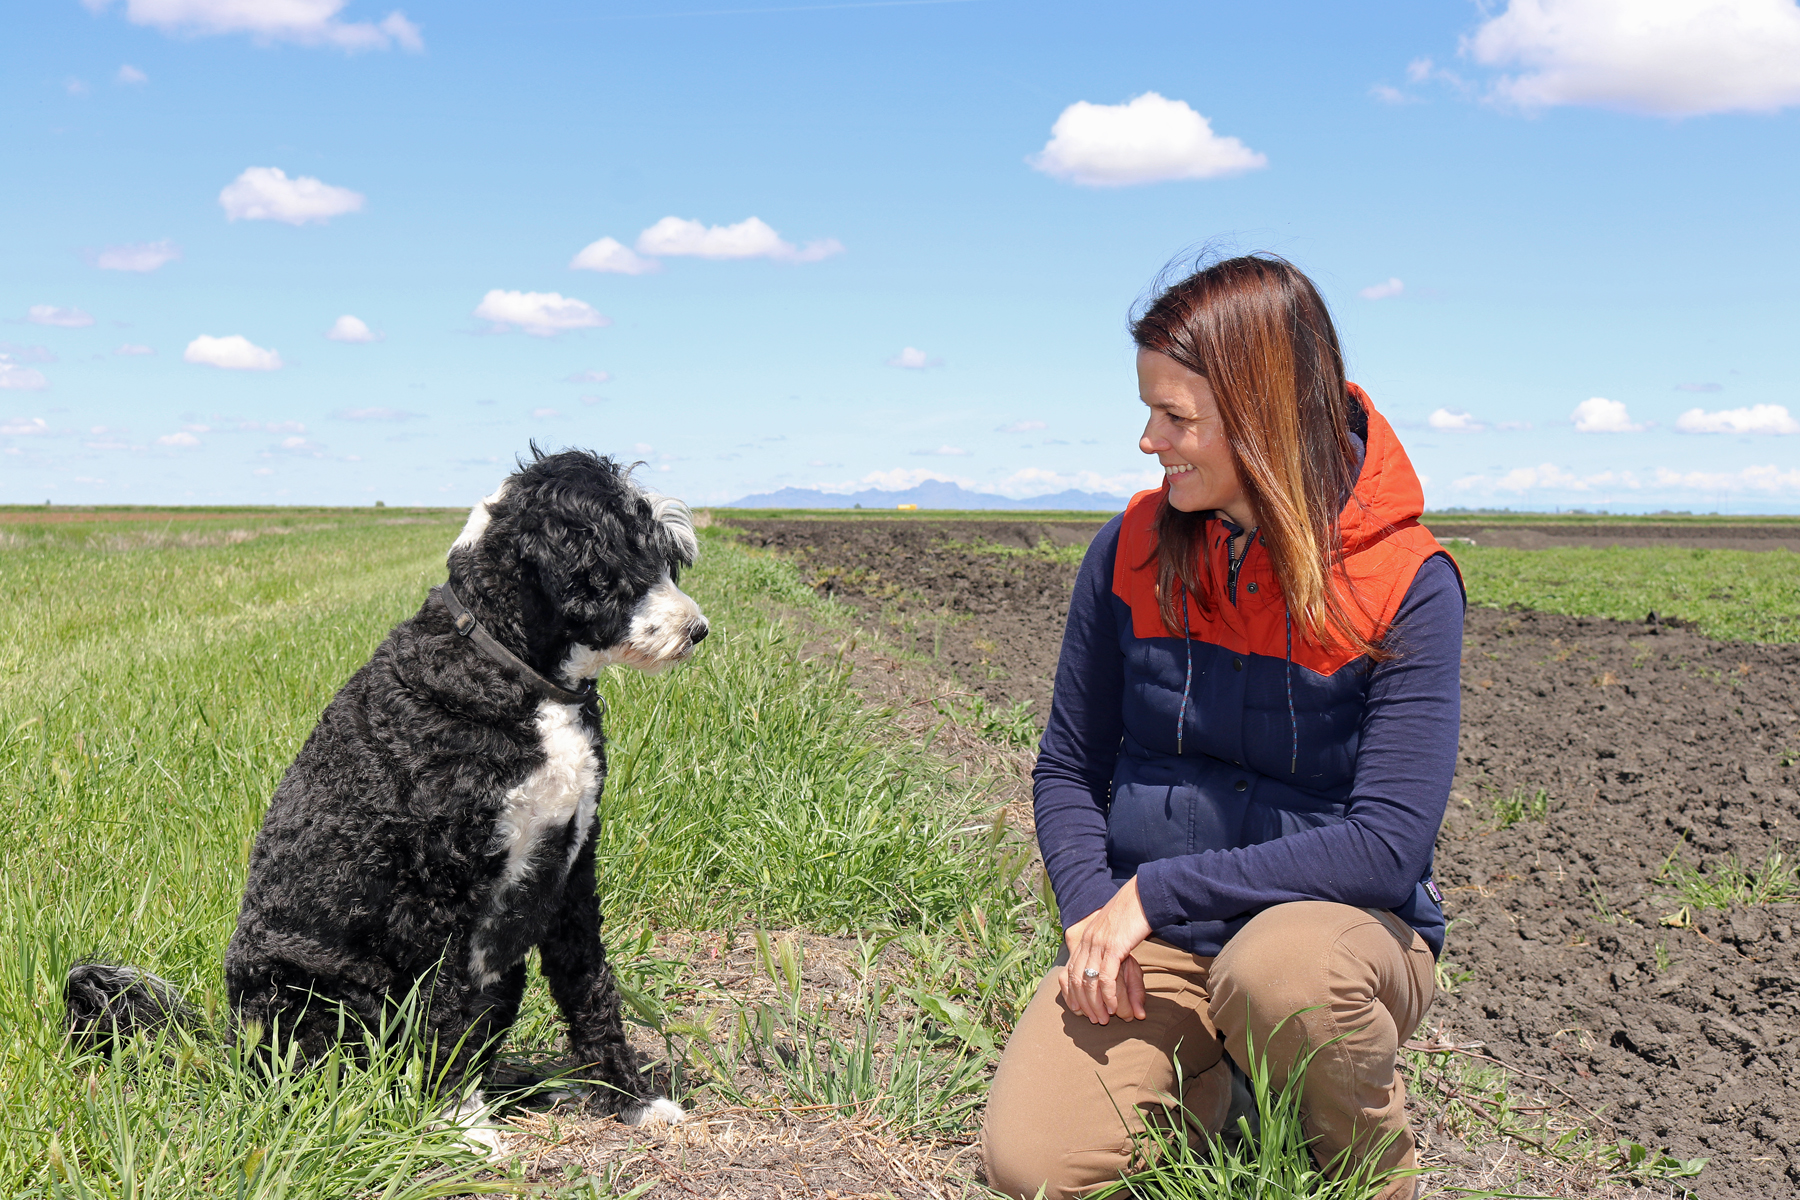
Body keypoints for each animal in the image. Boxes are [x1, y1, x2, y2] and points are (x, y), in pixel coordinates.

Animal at [70, 447, 705, 1129]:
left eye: (665, 560)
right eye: (621, 559)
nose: (698, 630)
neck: (511, 671)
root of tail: (231, 1053)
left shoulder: (571, 871)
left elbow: (591, 990)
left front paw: (632, 1100)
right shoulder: (439, 891)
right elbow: (444, 1012)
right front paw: (457, 1123)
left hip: (499, 980)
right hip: (317, 996)